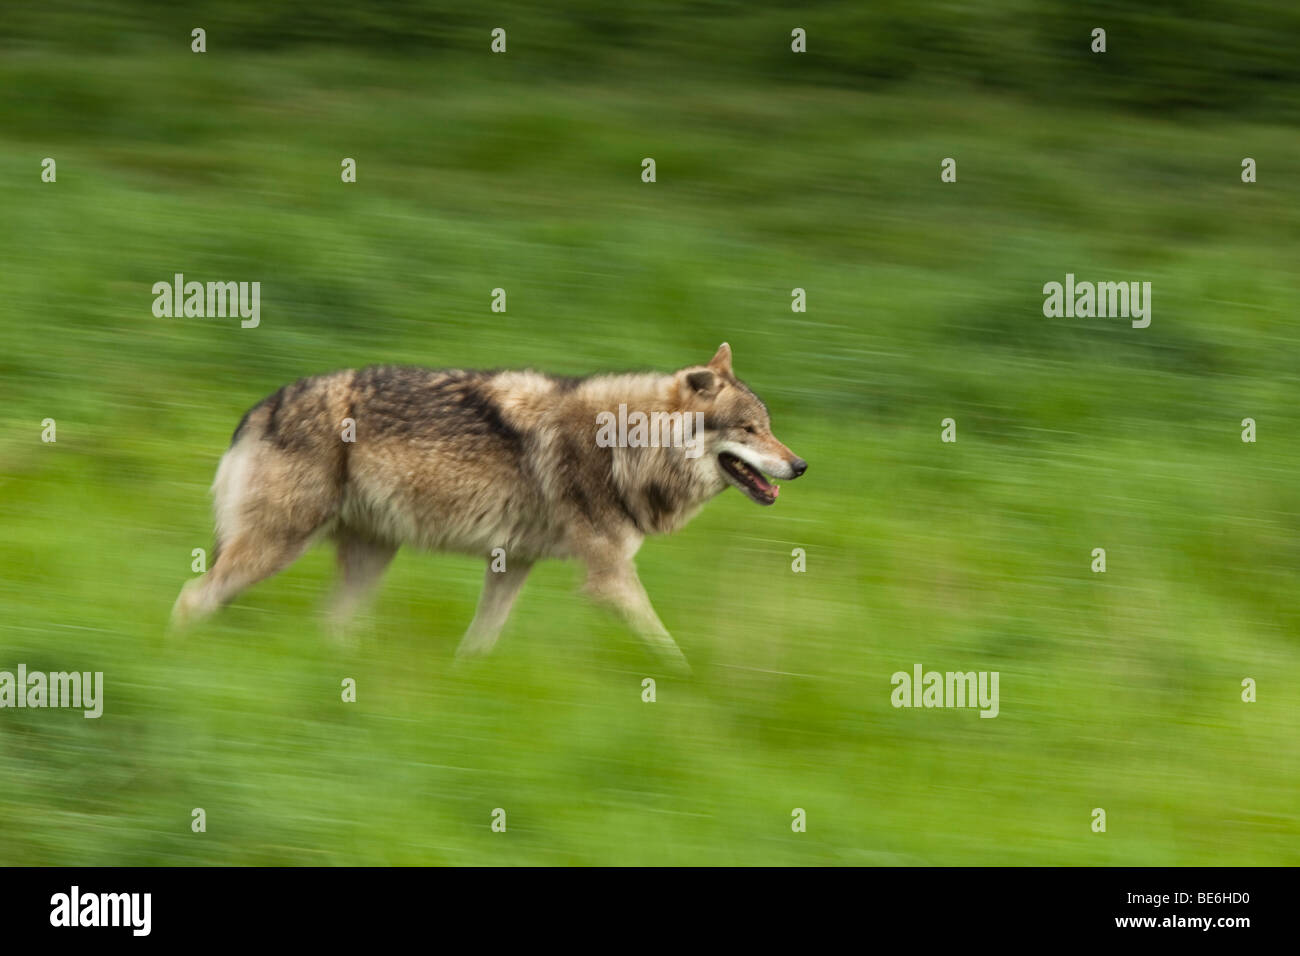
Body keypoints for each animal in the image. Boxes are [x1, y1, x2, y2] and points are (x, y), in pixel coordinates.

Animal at [169, 343, 806, 671]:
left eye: (770, 427)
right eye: (750, 430)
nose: (800, 466)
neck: (625, 445)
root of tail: (261, 407)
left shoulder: (513, 564)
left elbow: (480, 642)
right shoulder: (609, 578)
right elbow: (669, 649)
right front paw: (691, 689)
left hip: (370, 555)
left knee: (329, 624)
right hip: (277, 548)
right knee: (193, 598)